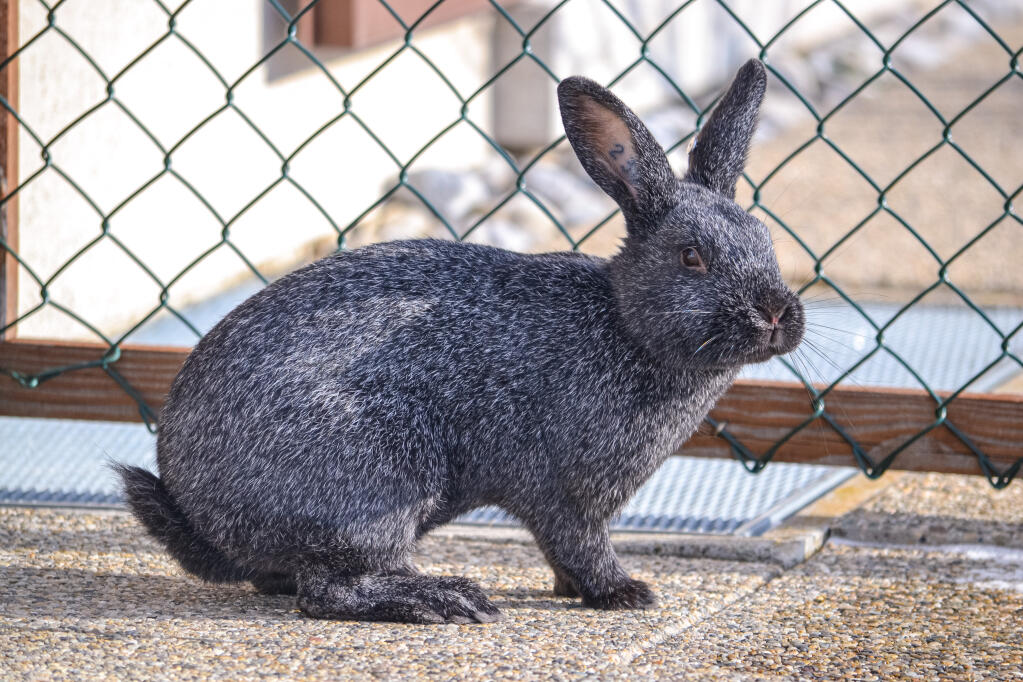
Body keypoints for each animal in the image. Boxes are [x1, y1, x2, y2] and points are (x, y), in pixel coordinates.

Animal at [117, 58, 804, 624]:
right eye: (692, 258)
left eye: (765, 242)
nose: (776, 313)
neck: (625, 327)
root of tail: (196, 509)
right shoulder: (566, 495)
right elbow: (579, 546)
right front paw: (624, 593)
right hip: (377, 479)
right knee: (329, 590)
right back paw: (445, 599)